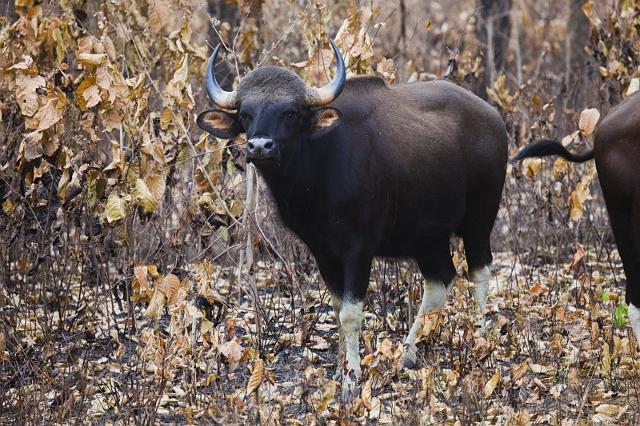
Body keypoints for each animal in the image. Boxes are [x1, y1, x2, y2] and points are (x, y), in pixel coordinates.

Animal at [198, 41, 508, 398]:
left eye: (290, 113)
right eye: (245, 114)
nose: (260, 146)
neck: (317, 172)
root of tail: (494, 119)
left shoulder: (359, 249)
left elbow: (350, 313)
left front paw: (352, 377)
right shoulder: (322, 250)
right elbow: (335, 308)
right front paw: (338, 368)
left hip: (480, 219)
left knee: (480, 271)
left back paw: (481, 339)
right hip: (428, 237)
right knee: (440, 280)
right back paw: (408, 353)